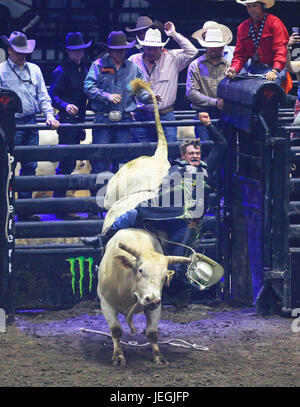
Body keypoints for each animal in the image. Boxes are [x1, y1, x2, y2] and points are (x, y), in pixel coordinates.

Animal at [97, 228, 191, 368]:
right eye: (140, 270)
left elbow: (152, 333)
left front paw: (158, 357)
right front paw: (118, 357)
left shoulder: (155, 307)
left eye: (164, 276)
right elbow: (116, 330)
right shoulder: (106, 303)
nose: (152, 299)